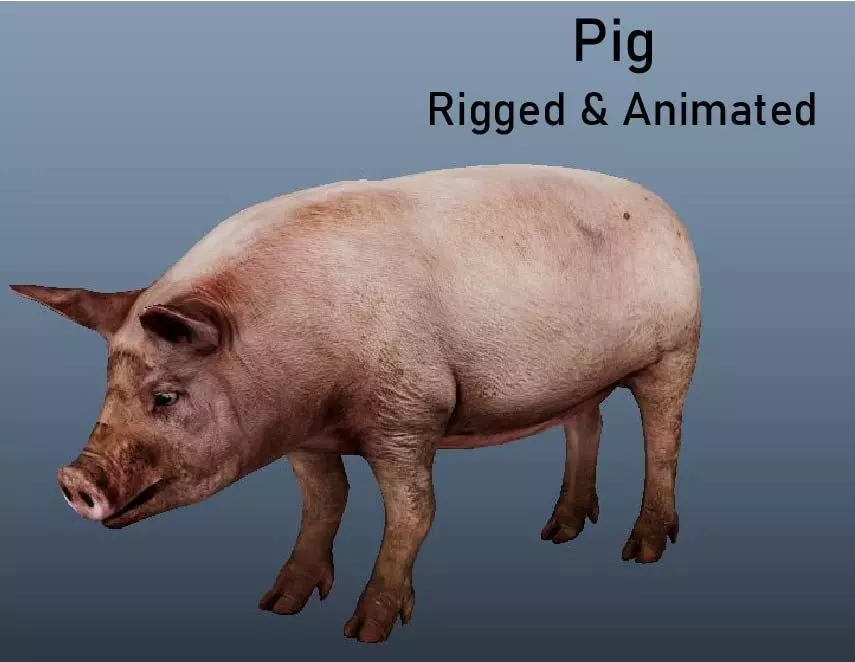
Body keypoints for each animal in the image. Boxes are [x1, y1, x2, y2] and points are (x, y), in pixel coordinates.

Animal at [10, 164, 700, 643]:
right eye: (107, 387)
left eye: (165, 395)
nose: (73, 478)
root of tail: (665, 209)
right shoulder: (304, 438)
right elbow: (325, 503)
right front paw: (277, 606)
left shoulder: (410, 408)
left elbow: (414, 512)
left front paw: (365, 632)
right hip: (579, 382)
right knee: (587, 423)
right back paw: (558, 532)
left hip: (675, 350)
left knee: (663, 438)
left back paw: (641, 550)